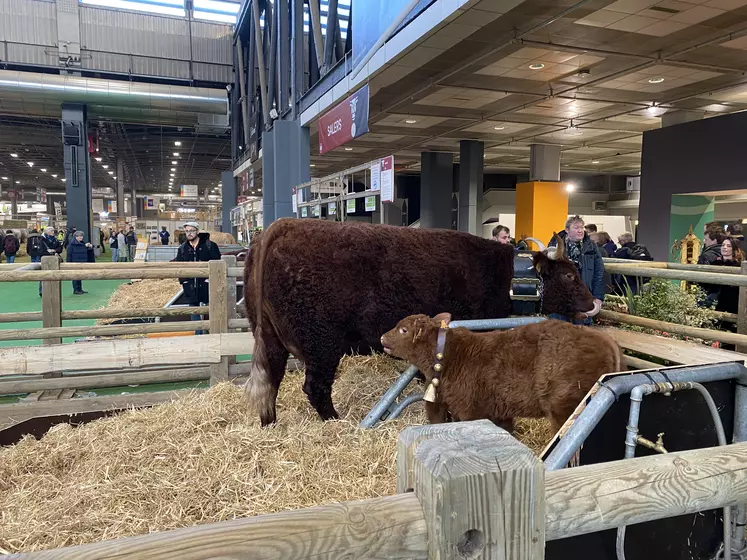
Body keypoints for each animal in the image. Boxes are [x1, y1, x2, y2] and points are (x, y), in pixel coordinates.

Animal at [247, 219, 600, 424]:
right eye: (570, 275)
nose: (594, 303)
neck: (506, 277)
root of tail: (282, 226)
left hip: (272, 340)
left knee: (271, 381)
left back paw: (270, 422)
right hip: (322, 344)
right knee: (315, 388)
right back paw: (336, 421)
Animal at [382, 312, 624, 430]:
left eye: (403, 330)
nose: (382, 337)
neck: (449, 356)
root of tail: (605, 339)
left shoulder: (470, 410)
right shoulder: (499, 411)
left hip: (565, 406)